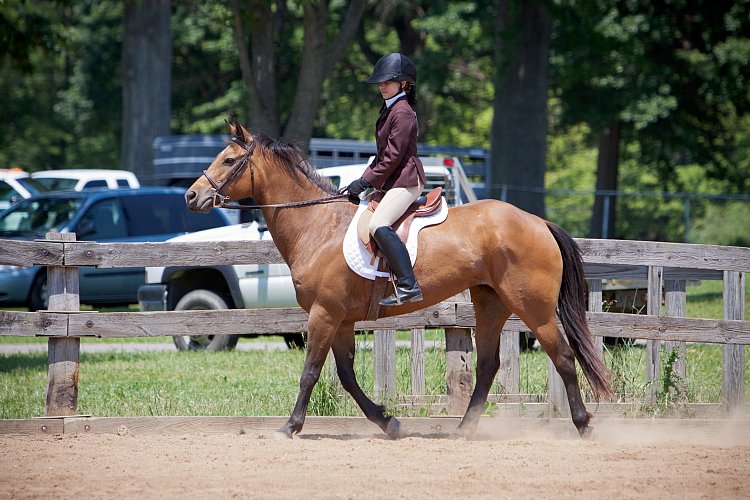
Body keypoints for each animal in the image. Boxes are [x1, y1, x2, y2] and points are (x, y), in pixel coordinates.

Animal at [187, 119, 612, 440]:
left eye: (228, 160)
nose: (192, 197)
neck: (318, 225)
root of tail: (538, 221)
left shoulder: (323, 314)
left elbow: (310, 372)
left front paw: (290, 427)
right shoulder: (340, 319)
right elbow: (346, 376)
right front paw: (388, 422)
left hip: (532, 307)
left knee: (562, 357)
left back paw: (583, 425)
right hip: (490, 302)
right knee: (488, 365)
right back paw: (463, 430)